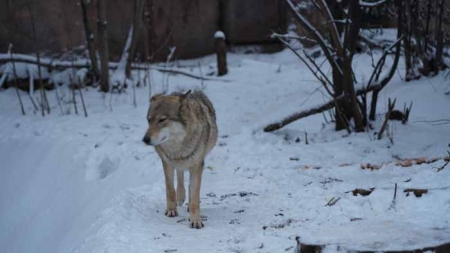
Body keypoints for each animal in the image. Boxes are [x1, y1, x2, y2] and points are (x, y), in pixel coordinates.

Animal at [142, 90, 217, 228]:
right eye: (148, 120)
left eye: (162, 120)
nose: (145, 139)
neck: (178, 148)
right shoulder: (167, 163)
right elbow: (170, 190)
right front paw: (171, 210)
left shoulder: (197, 165)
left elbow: (195, 194)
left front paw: (195, 220)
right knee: (180, 174)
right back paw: (181, 196)